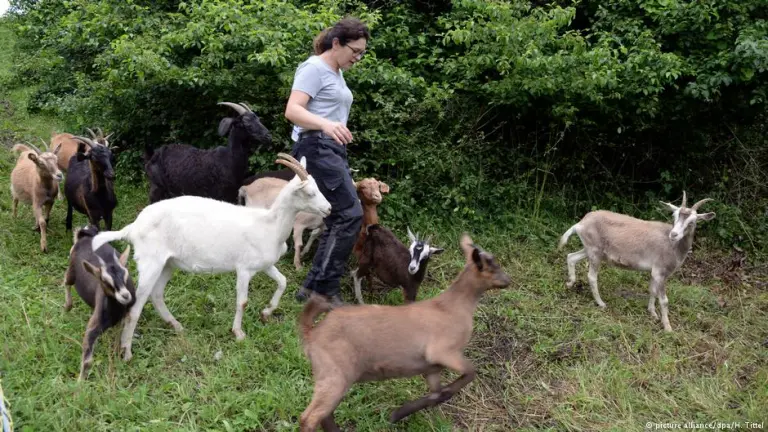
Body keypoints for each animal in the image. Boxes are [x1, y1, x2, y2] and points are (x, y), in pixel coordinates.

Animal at [64, 226, 135, 382]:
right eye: (105, 281)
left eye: (126, 274)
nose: (125, 296)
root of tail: (85, 236)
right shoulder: (93, 328)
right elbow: (87, 360)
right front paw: (80, 383)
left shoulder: (122, 319)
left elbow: (120, 335)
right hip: (71, 270)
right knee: (66, 282)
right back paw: (67, 306)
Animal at [91, 152, 332, 362]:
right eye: (310, 192)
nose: (329, 209)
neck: (270, 225)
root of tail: (133, 227)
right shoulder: (244, 268)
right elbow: (242, 301)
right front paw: (239, 333)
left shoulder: (265, 264)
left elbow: (283, 281)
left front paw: (266, 312)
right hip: (151, 262)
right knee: (136, 305)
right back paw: (127, 351)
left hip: (168, 263)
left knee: (156, 294)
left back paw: (176, 326)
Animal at [144, 101, 272, 204]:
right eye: (246, 123)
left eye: (258, 119)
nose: (268, 136)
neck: (229, 158)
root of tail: (153, 155)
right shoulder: (220, 194)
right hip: (157, 188)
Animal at [298, 235, 510, 430]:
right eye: (491, 265)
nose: (508, 280)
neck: (453, 306)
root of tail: (312, 332)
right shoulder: (443, 351)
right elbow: (469, 374)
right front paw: (398, 414)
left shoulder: (431, 367)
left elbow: (438, 392)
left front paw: (402, 412)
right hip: (334, 373)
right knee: (309, 418)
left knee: (324, 415)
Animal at [560, 191, 712, 332]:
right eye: (674, 216)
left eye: (692, 222)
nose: (674, 234)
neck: (673, 245)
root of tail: (581, 223)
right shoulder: (661, 273)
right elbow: (664, 300)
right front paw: (668, 328)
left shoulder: (654, 272)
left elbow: (652, 290)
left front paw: (652, 313)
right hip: (595, 253)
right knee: (591, 277)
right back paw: (601, 303)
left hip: (590, 250)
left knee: (571, 257)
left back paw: (570, 283)